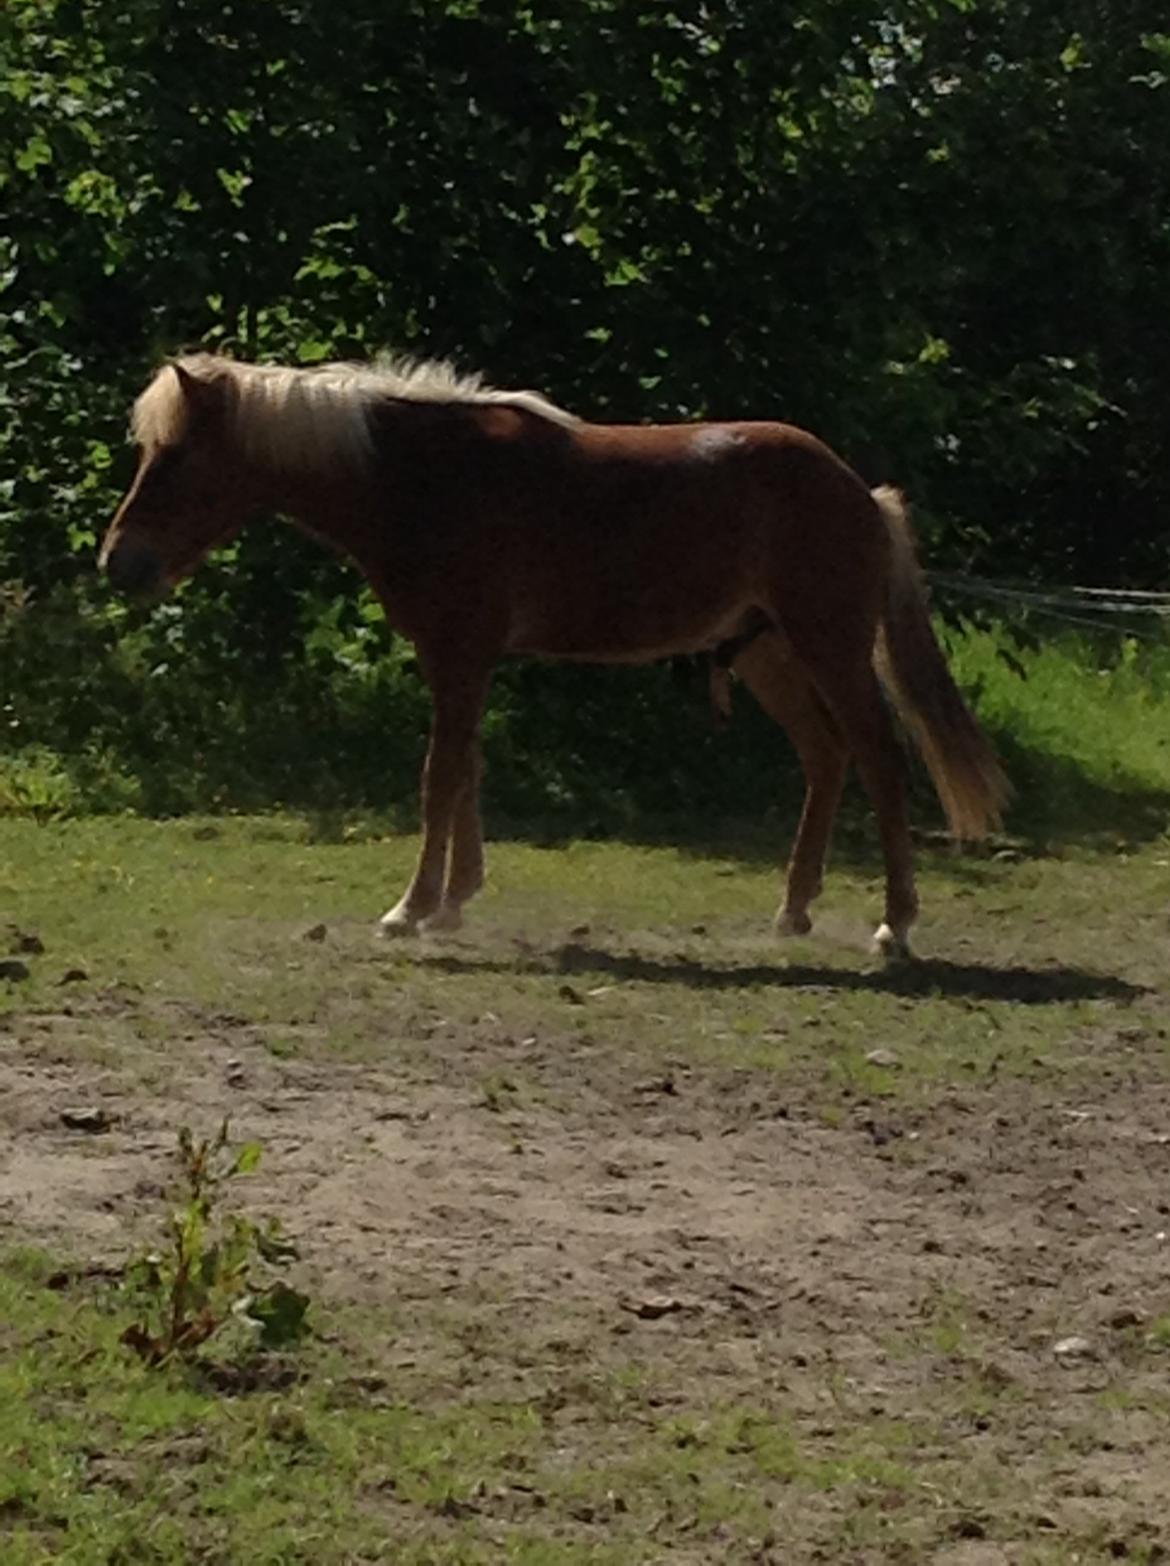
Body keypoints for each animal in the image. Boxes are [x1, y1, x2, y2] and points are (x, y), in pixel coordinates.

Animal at [101, 352, 1008, 952]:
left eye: (176, 458)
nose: (120, 563)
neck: (426, 478)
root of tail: (859, 489)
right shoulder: (458, 659)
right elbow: (463, 771)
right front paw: (454, 901)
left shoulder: (462, 652)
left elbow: (439, 777)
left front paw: (411, 909)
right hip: (768, 656)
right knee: (826, 757)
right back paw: (793, 911)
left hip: (830, 648)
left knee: (879, 758)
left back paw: (894, 924)